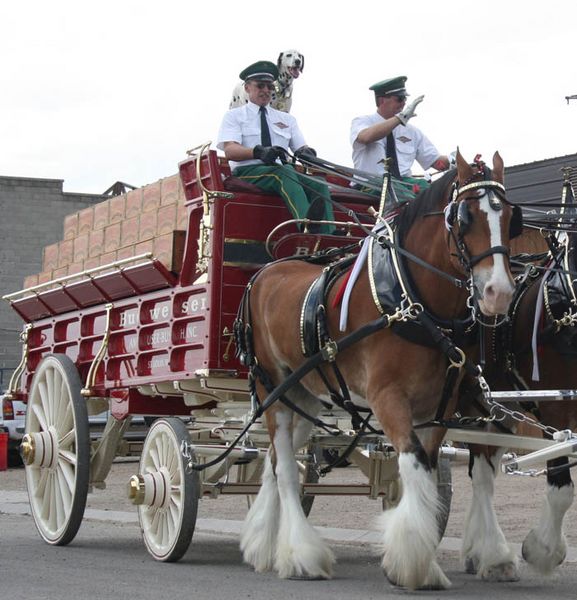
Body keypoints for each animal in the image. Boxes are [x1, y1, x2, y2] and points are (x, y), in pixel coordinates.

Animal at [238, 151, 512, 592]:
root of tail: (262, 274)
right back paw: (301, 555)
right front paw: (414, 564)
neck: (411, 301)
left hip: (302, 396)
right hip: (272, 390)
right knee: (287, 472)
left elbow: (425, 471)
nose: (498, 294)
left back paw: (263, 546)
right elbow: (413, 465)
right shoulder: (388, 399)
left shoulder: (438, 407)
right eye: (464, 216)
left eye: (512, 218)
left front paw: (418, 562)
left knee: (275, 462)